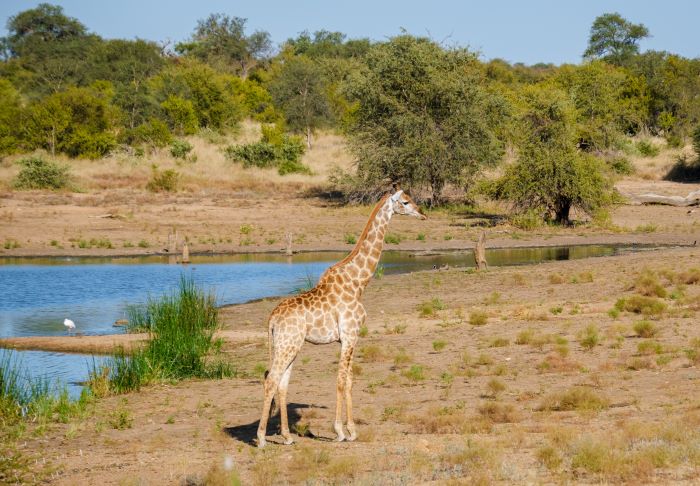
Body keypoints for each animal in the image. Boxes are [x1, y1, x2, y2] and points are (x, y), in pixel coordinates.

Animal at [254, 185, 424, 448]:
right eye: (405, 202)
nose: (422, 213)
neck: (358, 282)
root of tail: (271, 319)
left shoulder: (349, 339)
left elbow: (350, 380)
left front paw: (352, 431)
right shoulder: (350, 335)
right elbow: (341, 380)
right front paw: (340, 432)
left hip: (289, 345)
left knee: (281, 382)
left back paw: (287, 436)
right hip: (287, 345)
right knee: (271, 380)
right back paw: (261, 438)